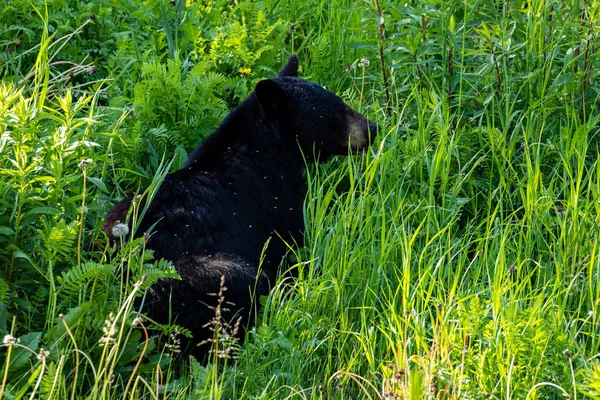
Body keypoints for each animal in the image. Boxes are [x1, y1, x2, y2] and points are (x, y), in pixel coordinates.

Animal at [102, 54, 376, 360]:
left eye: (340, 102)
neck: (266, 149)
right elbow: (291, 252)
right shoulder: (277, 205)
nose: (372, 129)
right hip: (188, 276)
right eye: (336, 111)